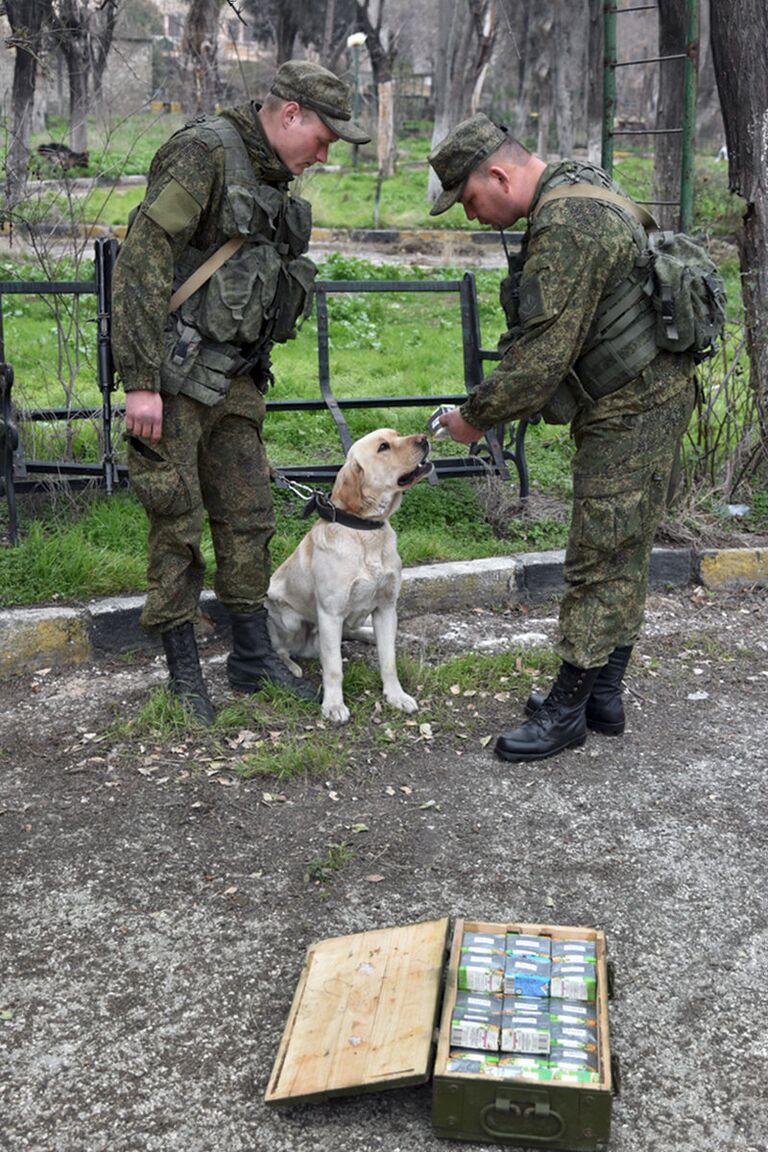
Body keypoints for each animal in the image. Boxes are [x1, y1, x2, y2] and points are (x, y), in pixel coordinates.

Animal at [265, 428, 432, 723]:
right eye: (383, 447)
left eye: (397, 434)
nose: (424, 438)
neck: (366, 532)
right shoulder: (331, 614)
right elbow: (333, 668)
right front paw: (333, 705)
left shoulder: (386, 608)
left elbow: (388, 661)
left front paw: (396, 696)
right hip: (289, 619)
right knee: (281, 648)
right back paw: (292, 667)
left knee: (355, 631)